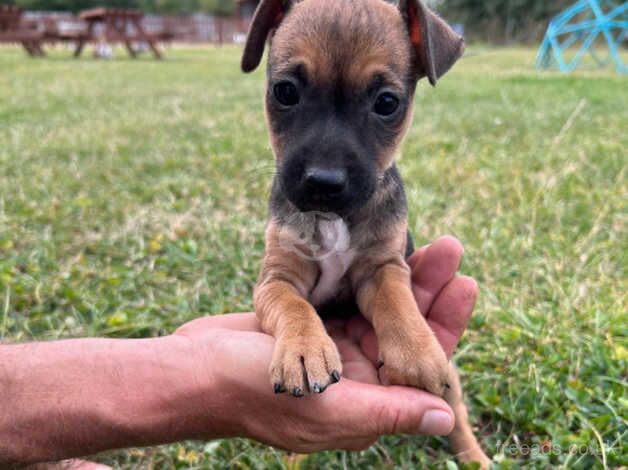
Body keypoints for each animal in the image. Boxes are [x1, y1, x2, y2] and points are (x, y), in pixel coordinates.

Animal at [240, 0, 490, 466]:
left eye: (387, 103)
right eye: (285, 92)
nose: (323, 181)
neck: (333, 218)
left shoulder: (382, 267)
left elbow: (396, 302)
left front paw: (415, 353)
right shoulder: (277, 279)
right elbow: (293, 305)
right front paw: (304, 348)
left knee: (458, 413)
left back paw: (474, 455)